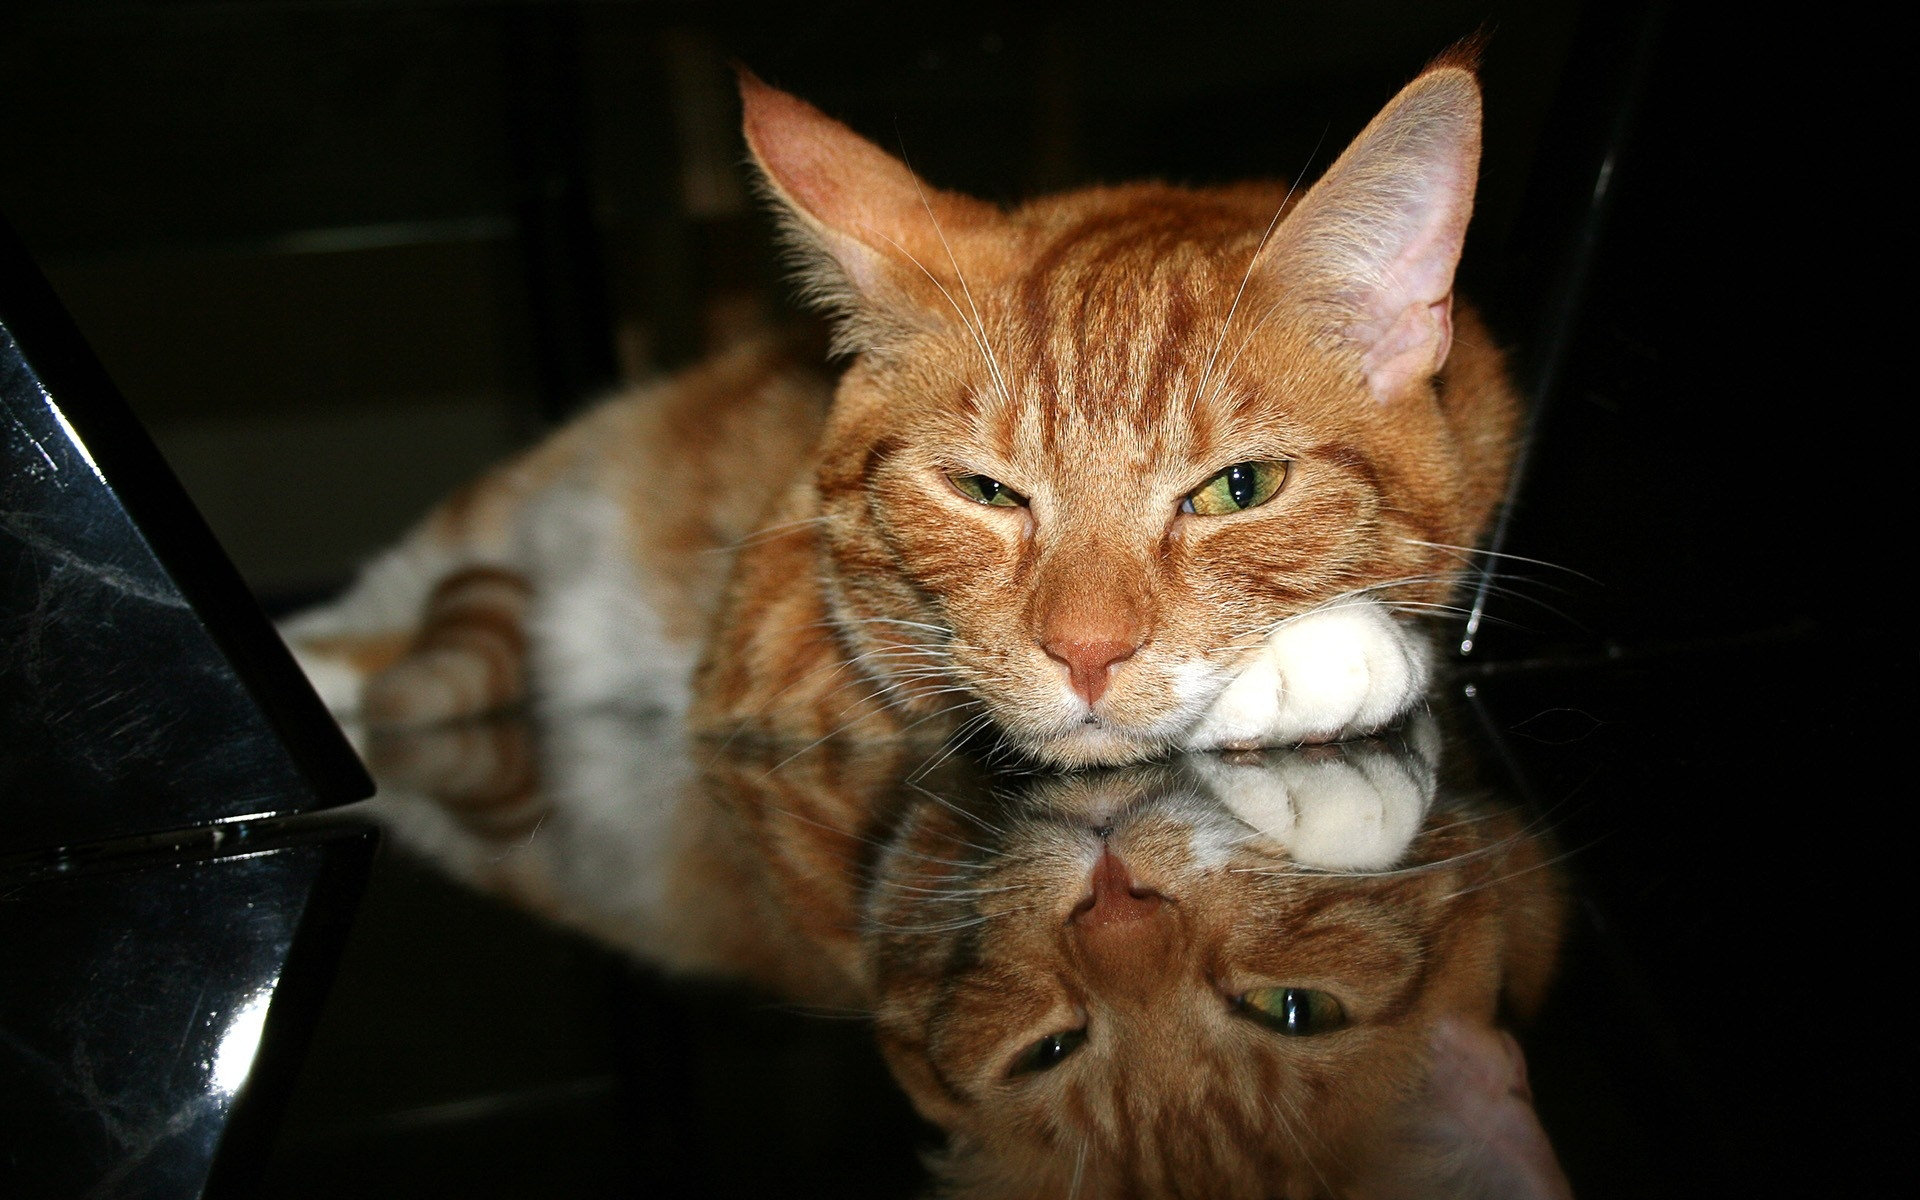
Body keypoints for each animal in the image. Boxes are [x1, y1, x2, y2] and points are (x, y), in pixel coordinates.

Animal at [280, 51, 1512, 764]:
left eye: (1239, 489)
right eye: (985, 491)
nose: (1087, 657)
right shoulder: (773, 631)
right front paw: (1332, 652)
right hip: (485, 518)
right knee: (371, 612)